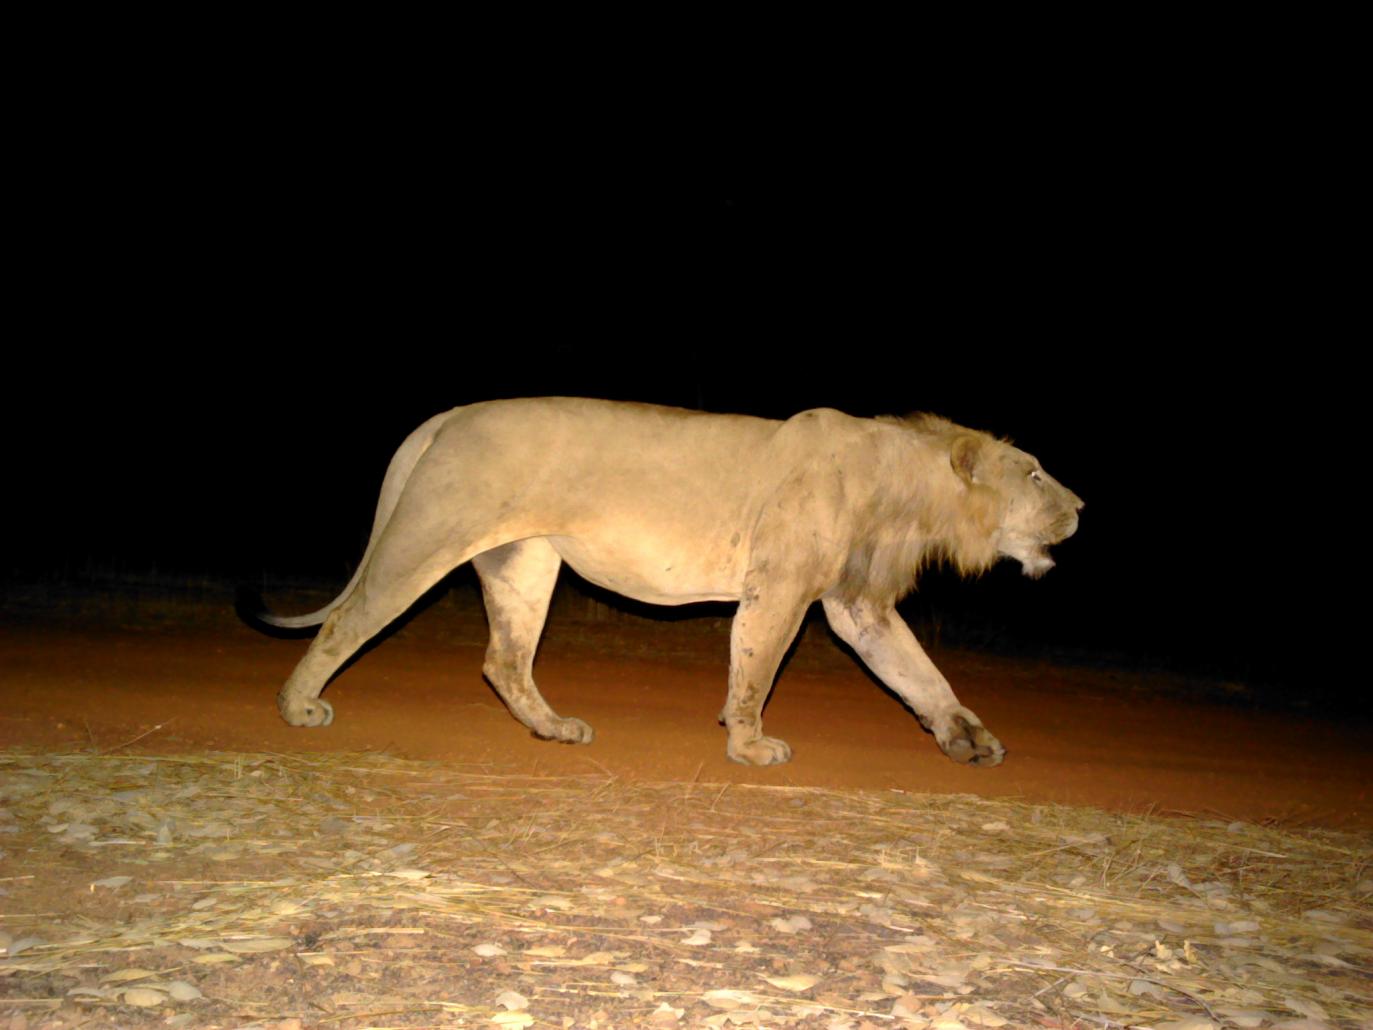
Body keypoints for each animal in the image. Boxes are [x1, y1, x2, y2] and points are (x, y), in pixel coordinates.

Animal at [259, 398, 1081, 769]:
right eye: (1036, 474)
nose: (1083, 507)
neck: (903, 494)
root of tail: (448, 416)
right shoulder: (782, 586)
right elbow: (757, 667)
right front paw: (750, 746)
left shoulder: (857, 606)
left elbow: (919, 673)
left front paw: (966, 737)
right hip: (430, 536)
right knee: (349, 621)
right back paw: (299, 707)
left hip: (524, 562)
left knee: (505, 660)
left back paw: (554, 729)